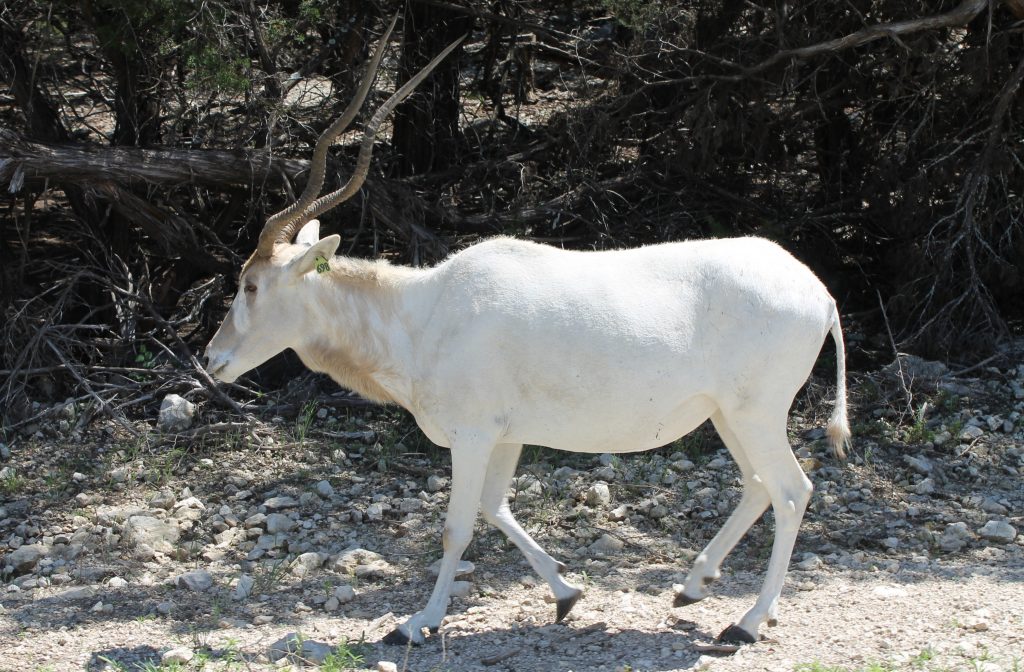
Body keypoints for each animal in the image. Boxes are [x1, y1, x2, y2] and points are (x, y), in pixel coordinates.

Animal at [201, 21, 847, 647]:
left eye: (251, 285)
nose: (212, 359)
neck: (424, 315)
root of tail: (821, 294)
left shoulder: (472, 434)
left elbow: (456, 526)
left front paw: (416, 622)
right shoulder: (505, 435)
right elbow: (494, 507)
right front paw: (566, 592)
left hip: (756, 412)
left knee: (792, 491)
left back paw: (746, 622)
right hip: (727, 414)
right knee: (759, 485)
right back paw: (692, 587)